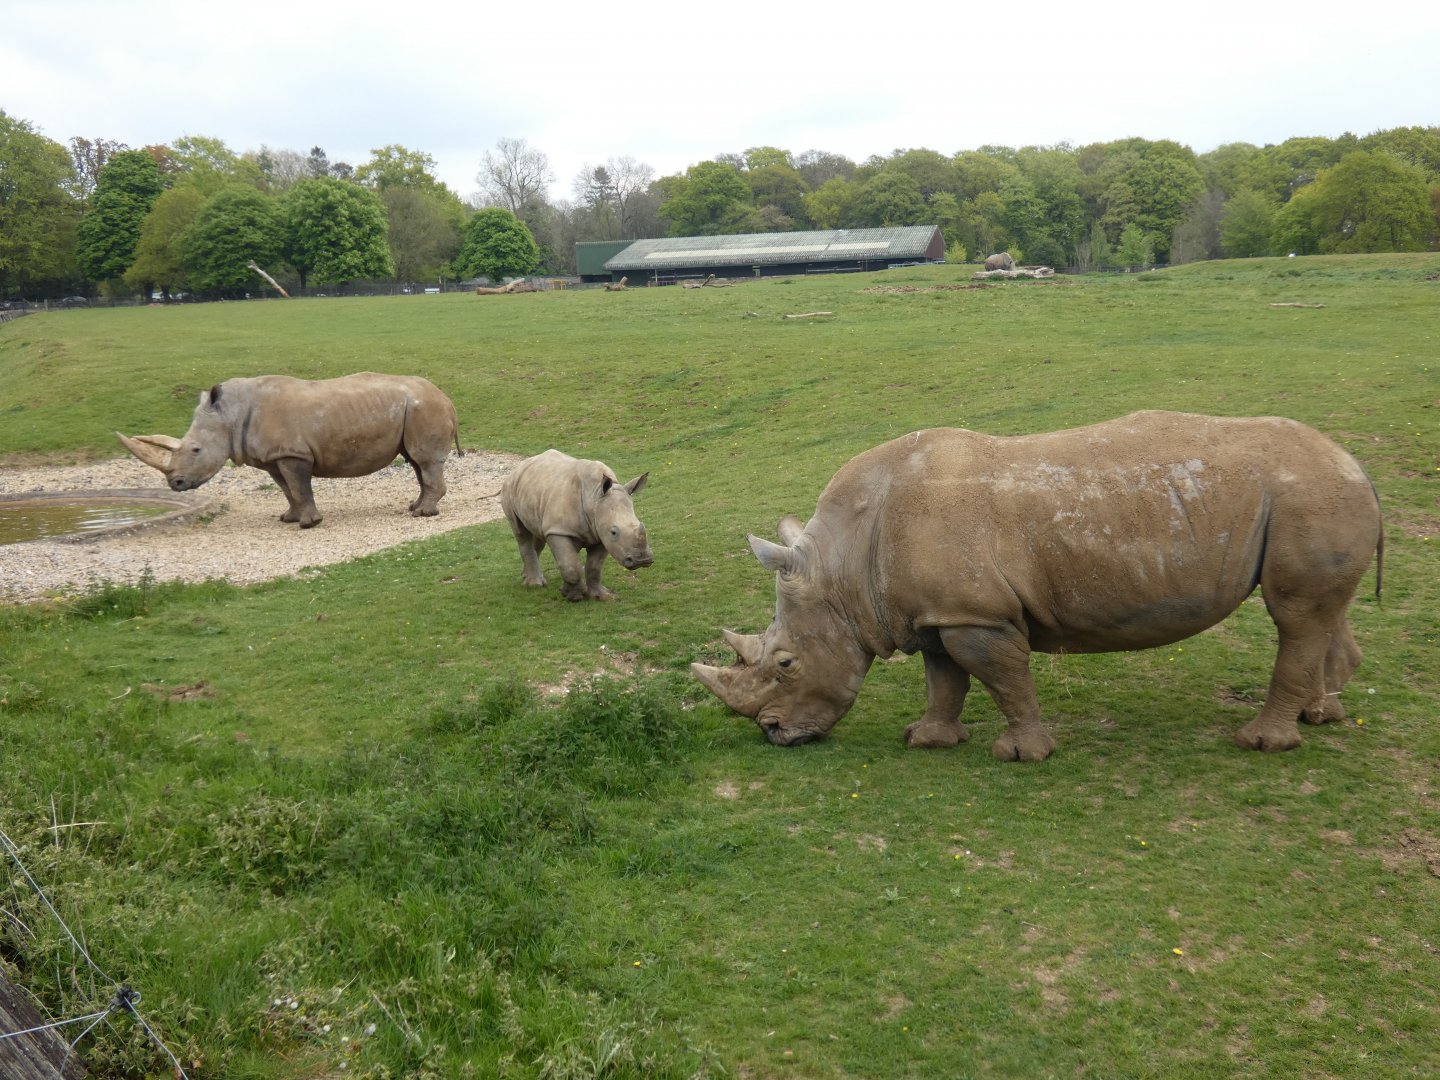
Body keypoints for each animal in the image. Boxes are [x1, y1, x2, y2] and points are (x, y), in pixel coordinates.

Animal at [118, 372, 460, 528]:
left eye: (196, 450)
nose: (175, 483)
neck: (231, 416)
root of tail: (446, 396)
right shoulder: (273, 457)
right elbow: (287, 490)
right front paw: (289, 519)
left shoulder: (293, 454)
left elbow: (299, 486)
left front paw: (309, 524)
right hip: (414, 410)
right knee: (415, 462)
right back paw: (414, 507)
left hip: (423, 408)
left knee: (424, 461)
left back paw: (423, 515)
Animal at [501, 449, 652, 601]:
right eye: (614, 532)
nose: (643, 560)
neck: (594, 498)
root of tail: (519, 467)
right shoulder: (559, 530)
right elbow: (571, 565)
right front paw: (574, 596)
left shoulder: (601, 533)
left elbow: (594, 566)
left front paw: (601, 596)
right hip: (508, 488)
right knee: (521, 533)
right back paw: (535, 584)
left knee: (537, 535)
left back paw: (526, 576)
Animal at [692, 411, 1383, 761]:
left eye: (784, 663)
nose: (773, 734)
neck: (844, 570)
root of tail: (1356, 461)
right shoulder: (938, 612)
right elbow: (945, 678)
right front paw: (927, 740)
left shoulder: (976, 615)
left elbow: (1000, 677)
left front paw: (1023, 754)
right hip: (1313, 499)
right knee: (1318, 614)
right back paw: (1322, 716)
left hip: (1306, 494)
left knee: (1293, 614)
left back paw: (1262, 743)